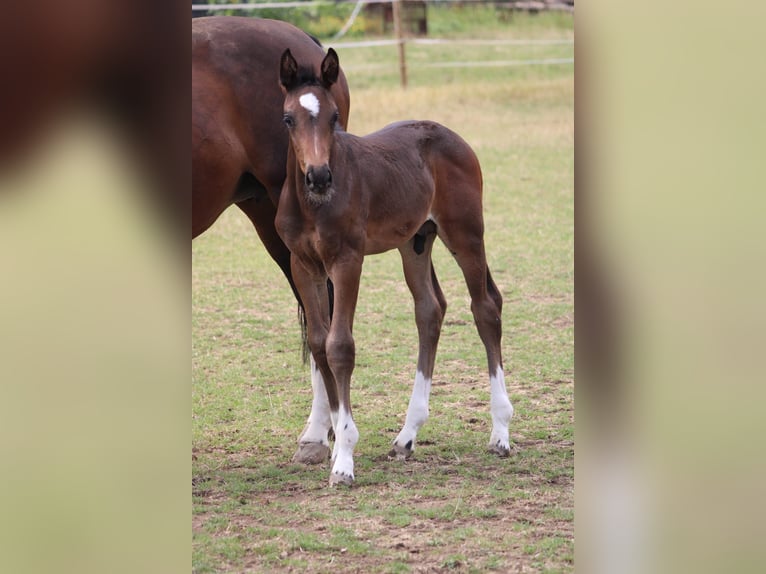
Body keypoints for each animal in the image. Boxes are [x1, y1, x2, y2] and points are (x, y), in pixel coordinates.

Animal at [275, 48, 515, 486]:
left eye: (335, 116)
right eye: (288, 118)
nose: (319, 177)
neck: (312, 205)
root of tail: (453, 137)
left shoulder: (347, 260)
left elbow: (340, 346)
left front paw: (344, 459)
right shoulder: (304, 265)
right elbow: (318, 343)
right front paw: (331, 441)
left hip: (466, 234)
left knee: (485, 308)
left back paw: (500, 432)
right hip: (415, 242)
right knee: (430, 310)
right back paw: (407, 436)